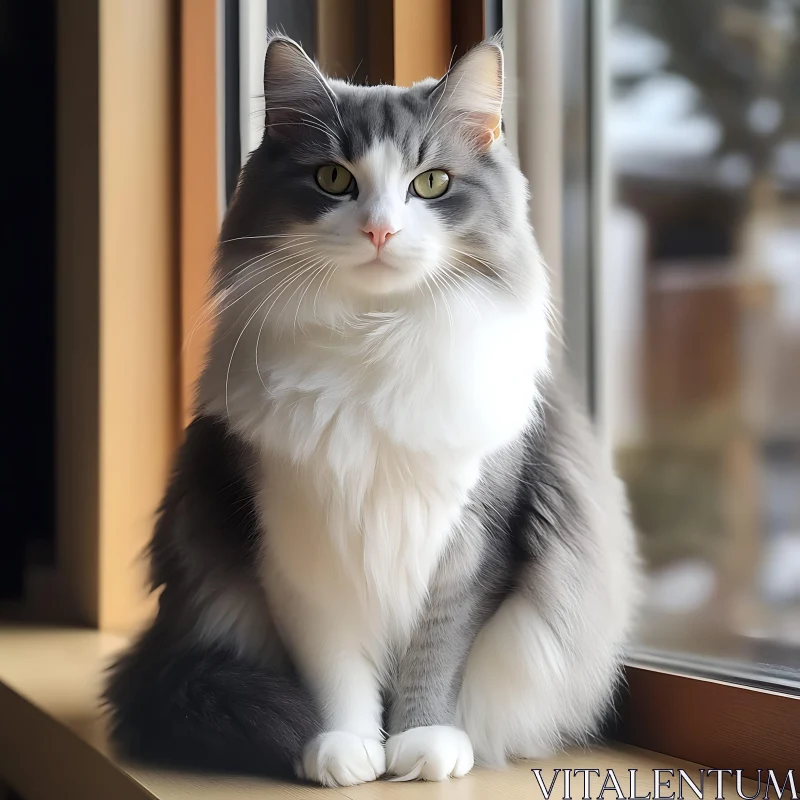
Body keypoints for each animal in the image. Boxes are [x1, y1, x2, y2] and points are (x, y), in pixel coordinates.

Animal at [106, 36, 640, 788]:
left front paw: (420, 744)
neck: (374, 338)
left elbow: (436, 657)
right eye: (334, 178)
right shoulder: (295, 546)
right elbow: (334, 673)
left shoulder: (472, 546)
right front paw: (344, 748)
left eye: (432, 184)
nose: (381, 230)